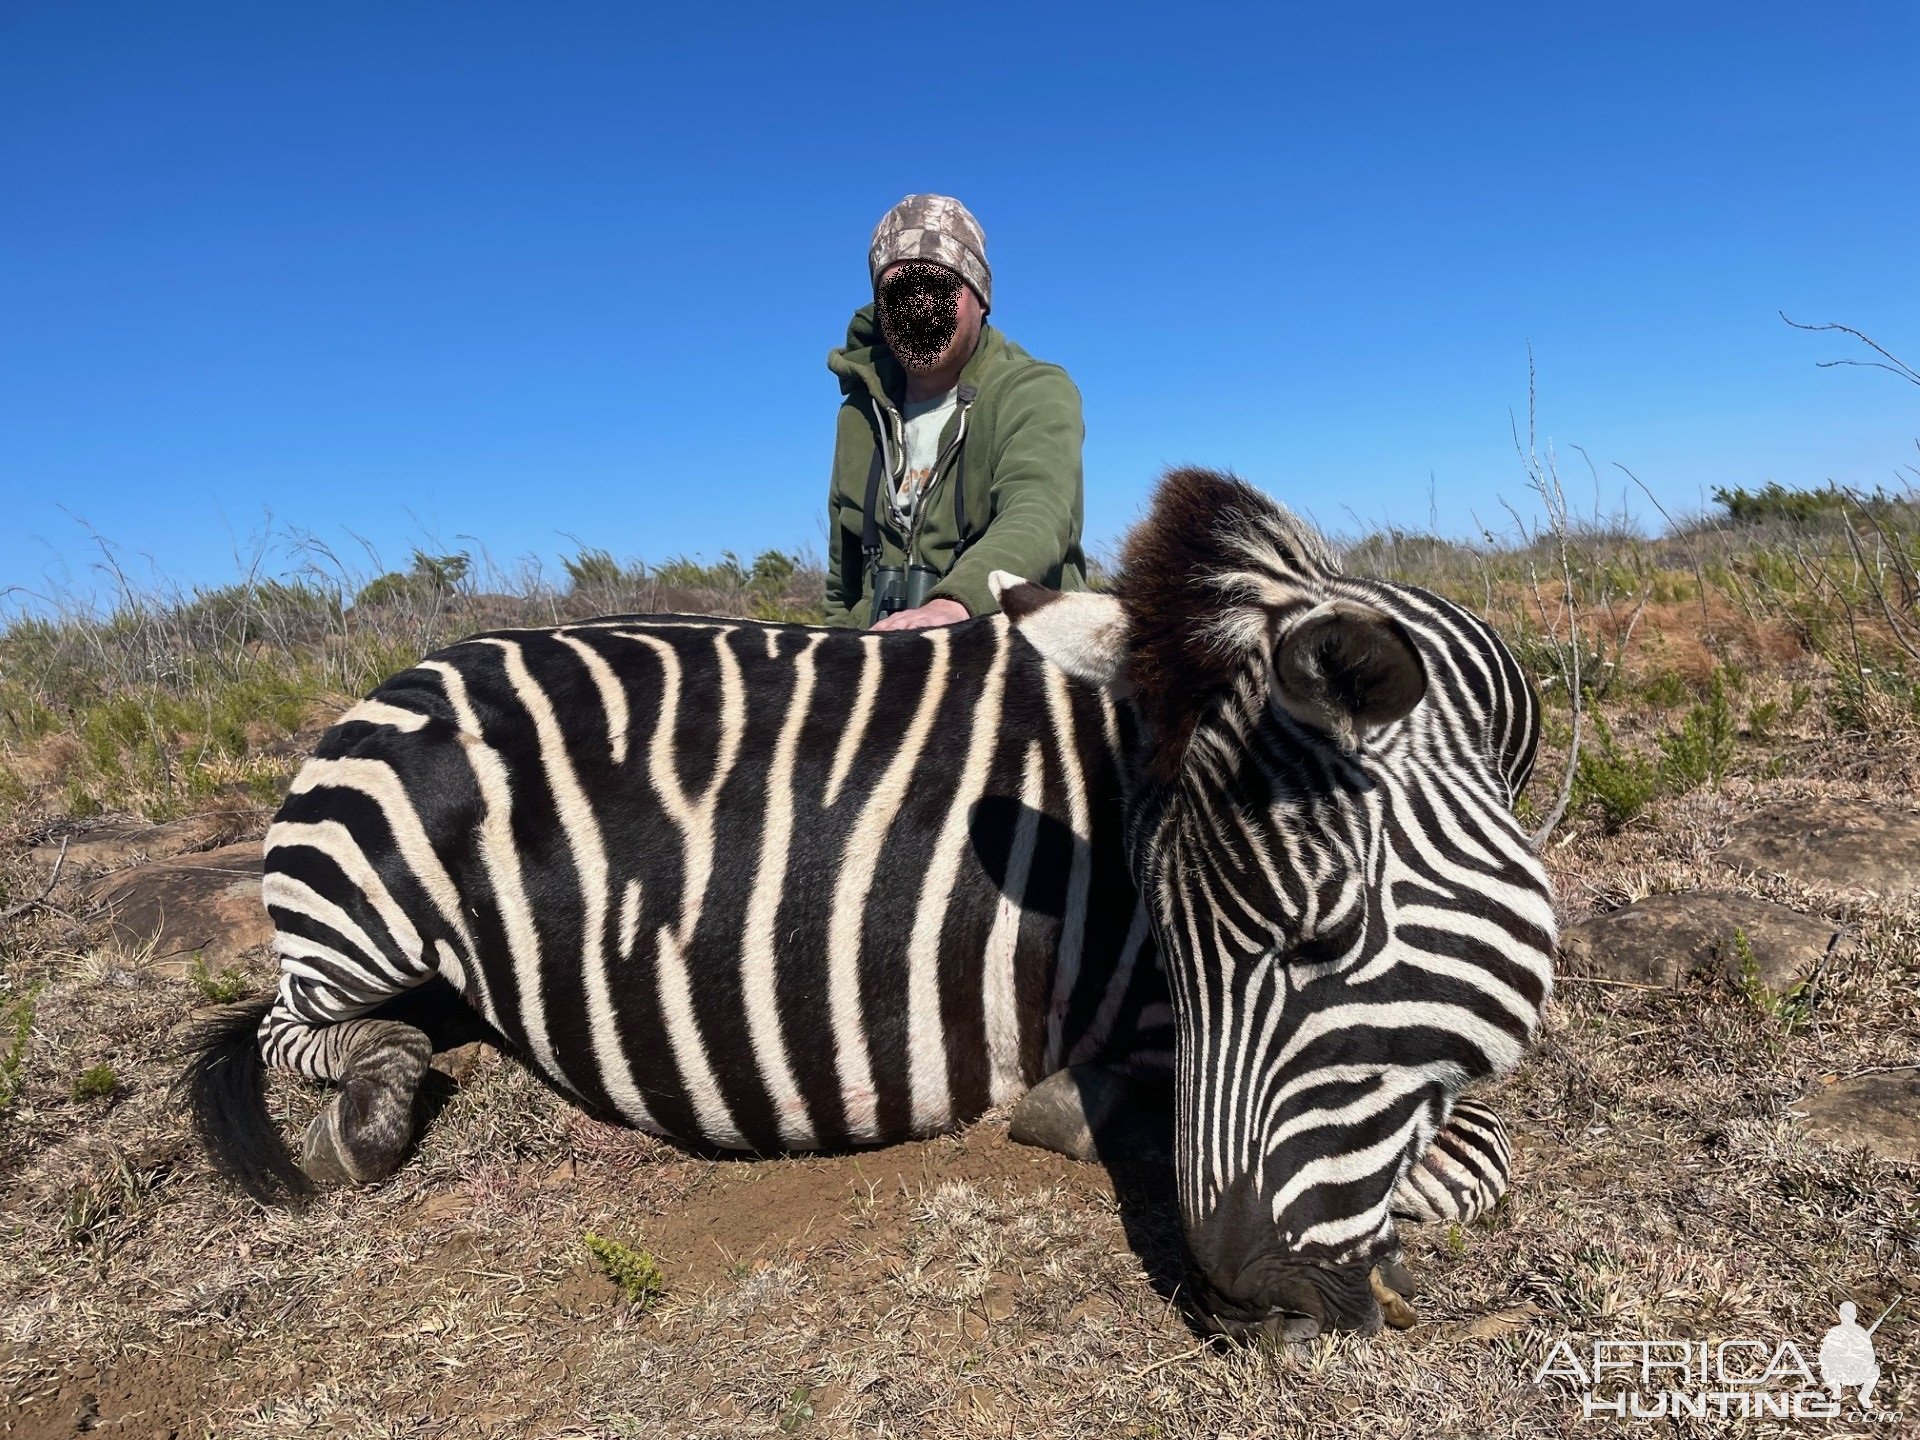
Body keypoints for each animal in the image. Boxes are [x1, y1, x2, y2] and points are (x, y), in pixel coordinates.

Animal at [183, 470, 1559, 1344]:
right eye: (1173, 945)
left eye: (1323, 942)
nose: (1253, 1303)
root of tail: (392, 679)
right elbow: (1478, 1153)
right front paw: (1076, 1113)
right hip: (364, 913)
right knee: (299, 1028)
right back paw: (367, 1110)